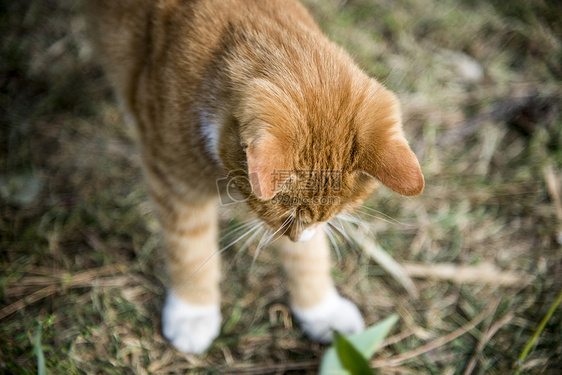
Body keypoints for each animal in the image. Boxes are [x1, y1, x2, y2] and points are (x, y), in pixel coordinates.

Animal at [86, 0, 420, 356]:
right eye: (288, 215)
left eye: (335, 214)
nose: (299, 237)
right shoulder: (175, 182)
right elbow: (189, 247)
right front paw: (193, 312)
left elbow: (309, 258)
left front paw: (321, 309)